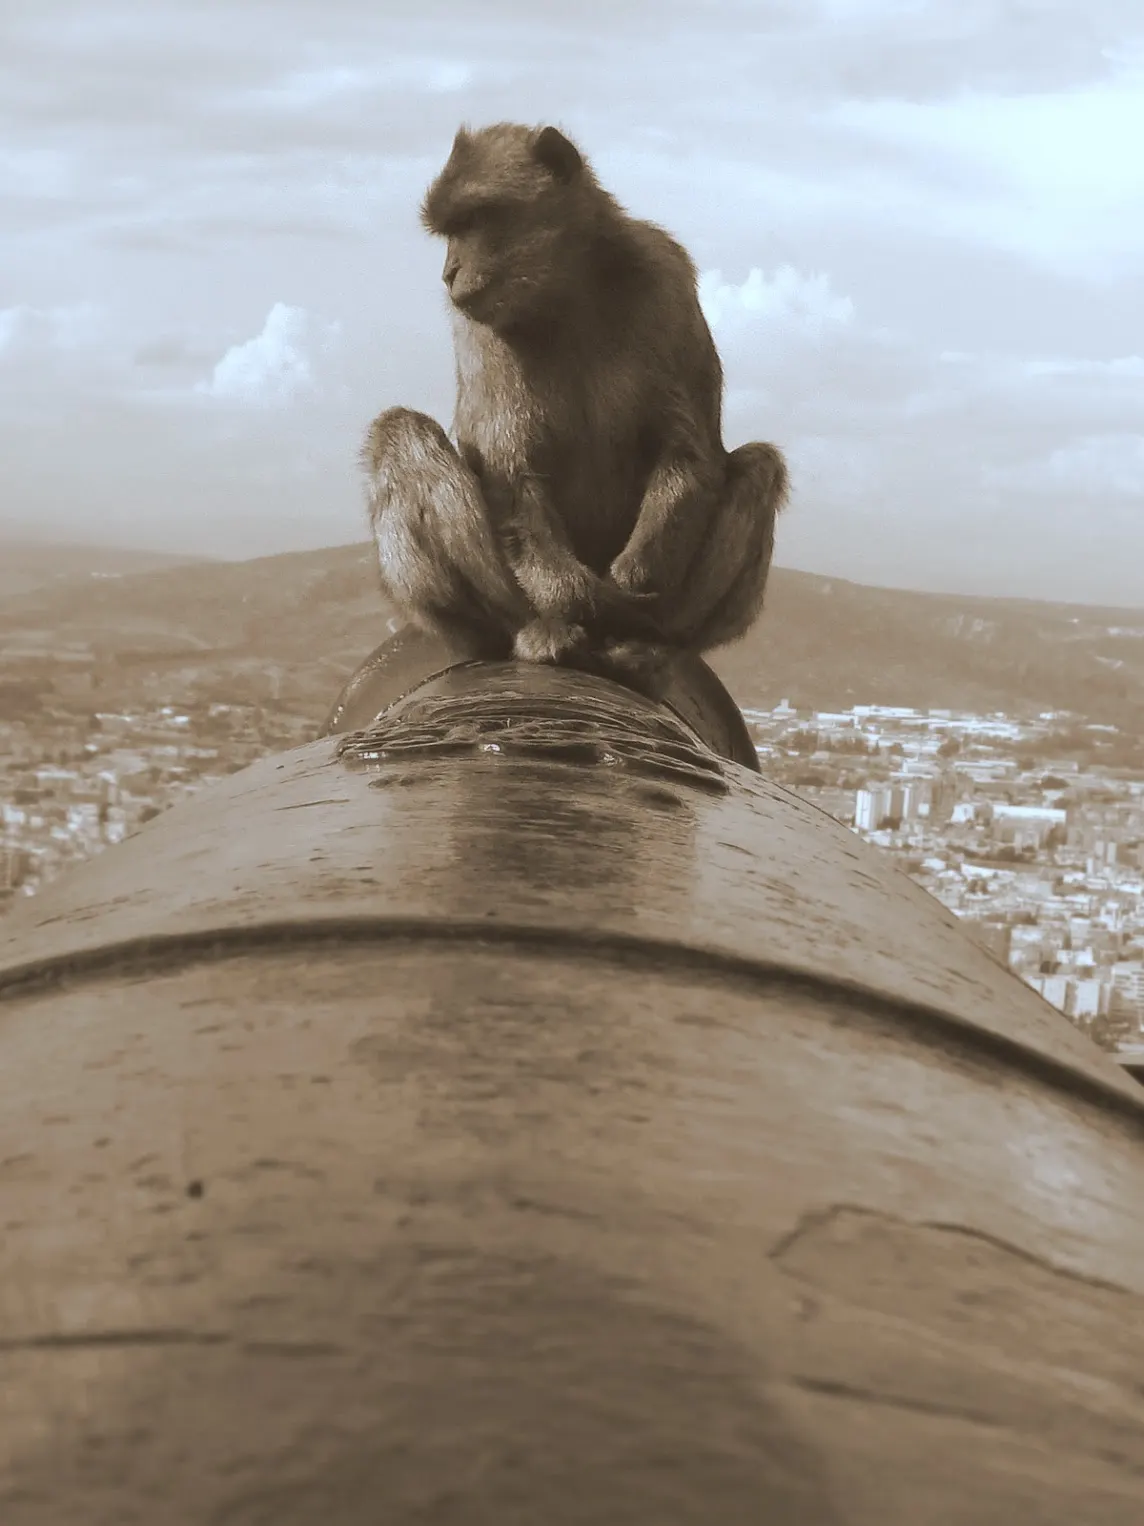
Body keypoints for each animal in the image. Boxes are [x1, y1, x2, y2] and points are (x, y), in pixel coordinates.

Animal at [362, 121, 789, 690]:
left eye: (477, 219)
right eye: (450, 229)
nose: (449, 271)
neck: (567, 298)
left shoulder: (667, 280)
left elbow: (689, 452)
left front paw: (633, 579)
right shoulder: (479, 331)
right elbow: (512, 477)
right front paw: (581, 597)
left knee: (759, 466)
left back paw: (649, 643)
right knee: (399, 431)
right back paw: (534, 630)